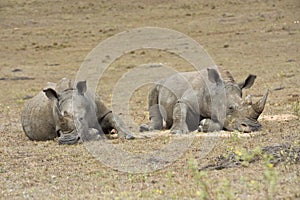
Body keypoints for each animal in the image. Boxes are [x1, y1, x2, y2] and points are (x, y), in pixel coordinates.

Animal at [141, 66, 270, 134]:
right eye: (230, 107)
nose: (254, 127)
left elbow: (219, 124)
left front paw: (202, 125)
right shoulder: (186, 99)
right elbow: (180, 110)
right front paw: (177, 131)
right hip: (160, 83)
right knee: (153, 91)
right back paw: (147, 128)